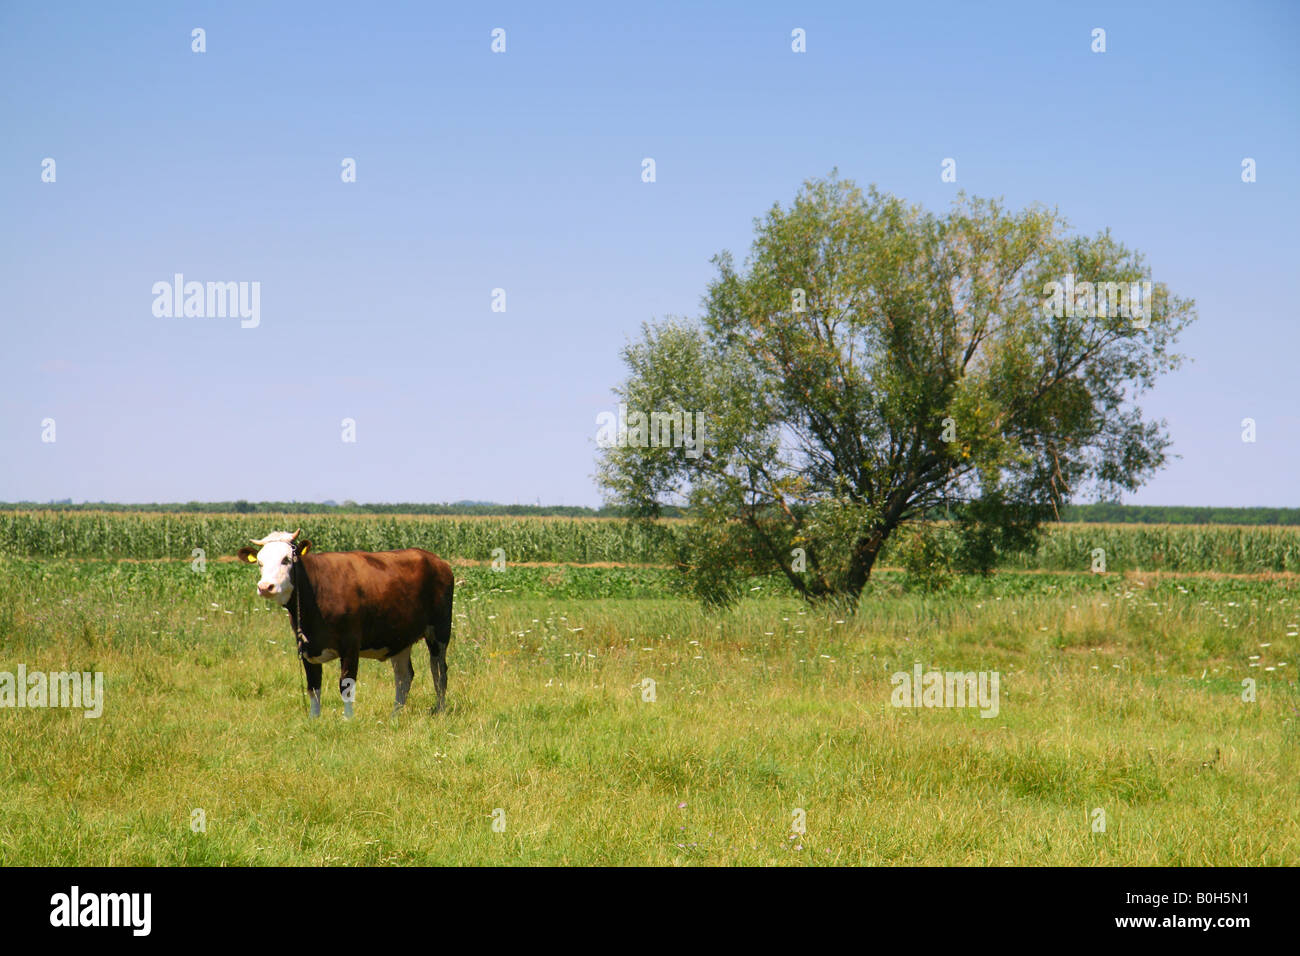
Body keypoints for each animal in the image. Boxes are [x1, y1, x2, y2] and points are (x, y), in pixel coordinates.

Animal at [236, 530, 453, 718]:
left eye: (286, 559)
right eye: (260, 563)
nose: (265, 587)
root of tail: (437, 560)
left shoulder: (350, 644)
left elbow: (346, 685)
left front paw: (348, 720)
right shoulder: (306, 646)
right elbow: (313, 687)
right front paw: (313, 720)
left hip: (440, 632)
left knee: (439, 671)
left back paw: (441, 710)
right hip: (399, 638)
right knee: (404, 676)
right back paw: (394, 716)